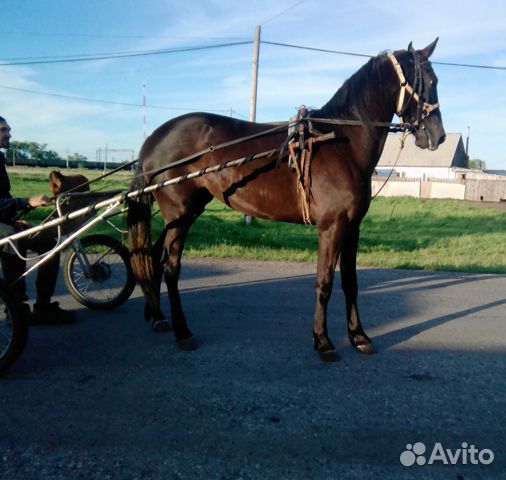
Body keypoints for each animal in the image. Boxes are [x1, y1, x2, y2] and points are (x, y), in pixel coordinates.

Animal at [127, 40, 446, 360]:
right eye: (428, 82)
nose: (438, 136)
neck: (340, 143)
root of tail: (153, 139)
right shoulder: (331, 227)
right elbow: (324, 283)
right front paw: (323, 341)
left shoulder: (352, 227)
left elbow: (351, 282)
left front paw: (359, 336)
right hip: (179, 213)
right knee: (170, 267)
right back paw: (183, 332)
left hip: (184, 213)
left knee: (153, 257)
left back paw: (157, 317)